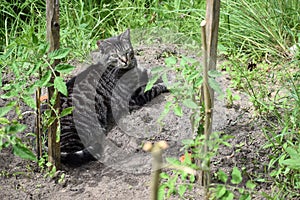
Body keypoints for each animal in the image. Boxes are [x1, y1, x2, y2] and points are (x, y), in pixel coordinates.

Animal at [51, 28, 169, 166]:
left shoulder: (141, 72)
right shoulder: (132, 98)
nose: (125, 60)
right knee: (74, 156)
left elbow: (152, 74)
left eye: (127, 51)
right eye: (115, 56)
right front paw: (167, 84)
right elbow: (153, 88)